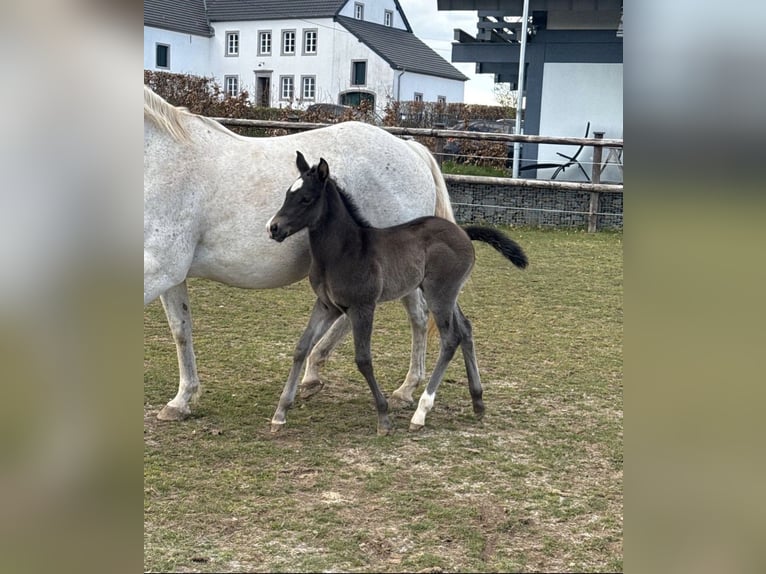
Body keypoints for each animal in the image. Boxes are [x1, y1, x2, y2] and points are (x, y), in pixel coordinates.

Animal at [144, 85, 455, 421]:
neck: (162, 160)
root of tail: (410, 149)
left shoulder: (158, 270)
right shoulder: (171, 275)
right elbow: (181, 329)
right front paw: (180, 401)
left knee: (417, 317)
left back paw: (404, 390)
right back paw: (314, 376)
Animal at [267, 153, 528, 435]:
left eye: (306, 198)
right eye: (287, 194)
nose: (274, 228)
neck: (345, 249)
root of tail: (463, 232)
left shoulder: (363, 307)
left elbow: (363, 359)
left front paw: (383, 417)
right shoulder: (327, 306)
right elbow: (301, 347)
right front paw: (280, 413)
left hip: (439, 295)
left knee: (450, 339)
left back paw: (421, 413)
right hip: (446, 294)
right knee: (466, 329)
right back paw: (478, 402)